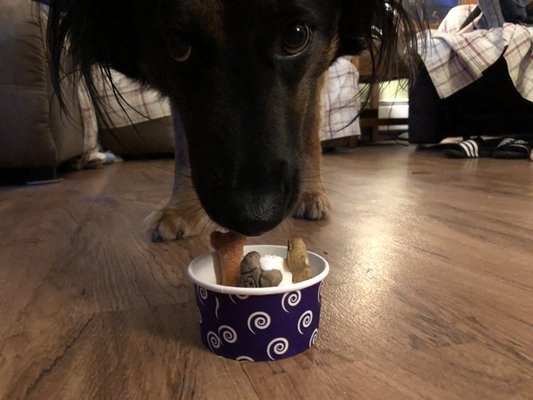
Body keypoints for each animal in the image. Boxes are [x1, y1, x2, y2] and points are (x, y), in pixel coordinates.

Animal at [45, 0, 420, 241]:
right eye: (177, 45)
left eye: (296, 35)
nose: (252, 218)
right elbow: (185, 147)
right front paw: (180, 209)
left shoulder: (319, 60)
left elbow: (309, 125)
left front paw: (312, 192)